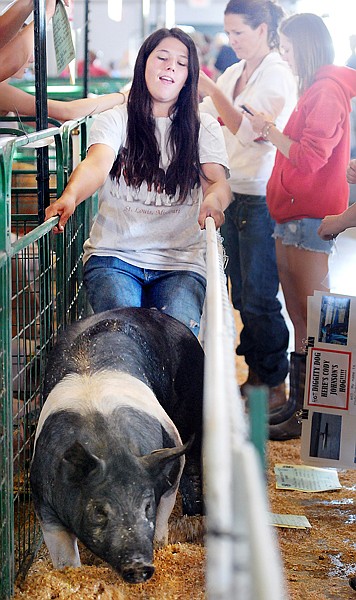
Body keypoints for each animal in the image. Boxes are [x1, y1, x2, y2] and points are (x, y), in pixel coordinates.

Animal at [31, 308, 203, 584]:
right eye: (99, 511)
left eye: (146, 506)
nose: (139, 566)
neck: (109, 444)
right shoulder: (43, 498)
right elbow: (63, 556)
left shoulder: (170, 465)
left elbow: (162, 517)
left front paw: (160, 545)